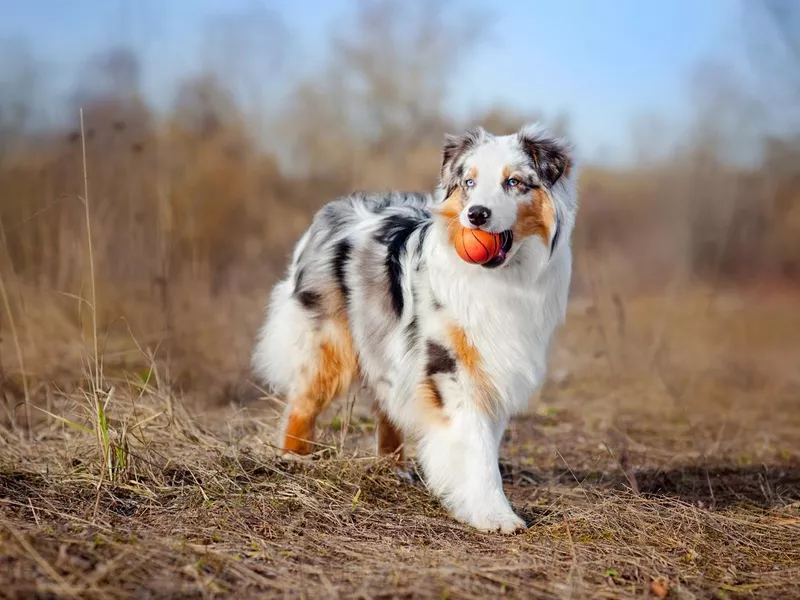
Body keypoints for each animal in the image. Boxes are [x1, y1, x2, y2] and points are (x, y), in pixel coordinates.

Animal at [253, 123, 580, 536]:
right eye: (469, 182)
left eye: (514, 182)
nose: (476, 215)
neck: (501, 279)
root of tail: (333, 209)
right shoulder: (449, 367)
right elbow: (475, 446)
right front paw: (495, 515)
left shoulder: (494, 367)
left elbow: (484, 442)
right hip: (331, 342)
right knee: (304, 401)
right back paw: (293, 459)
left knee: (385, 404)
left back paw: (393, 468)